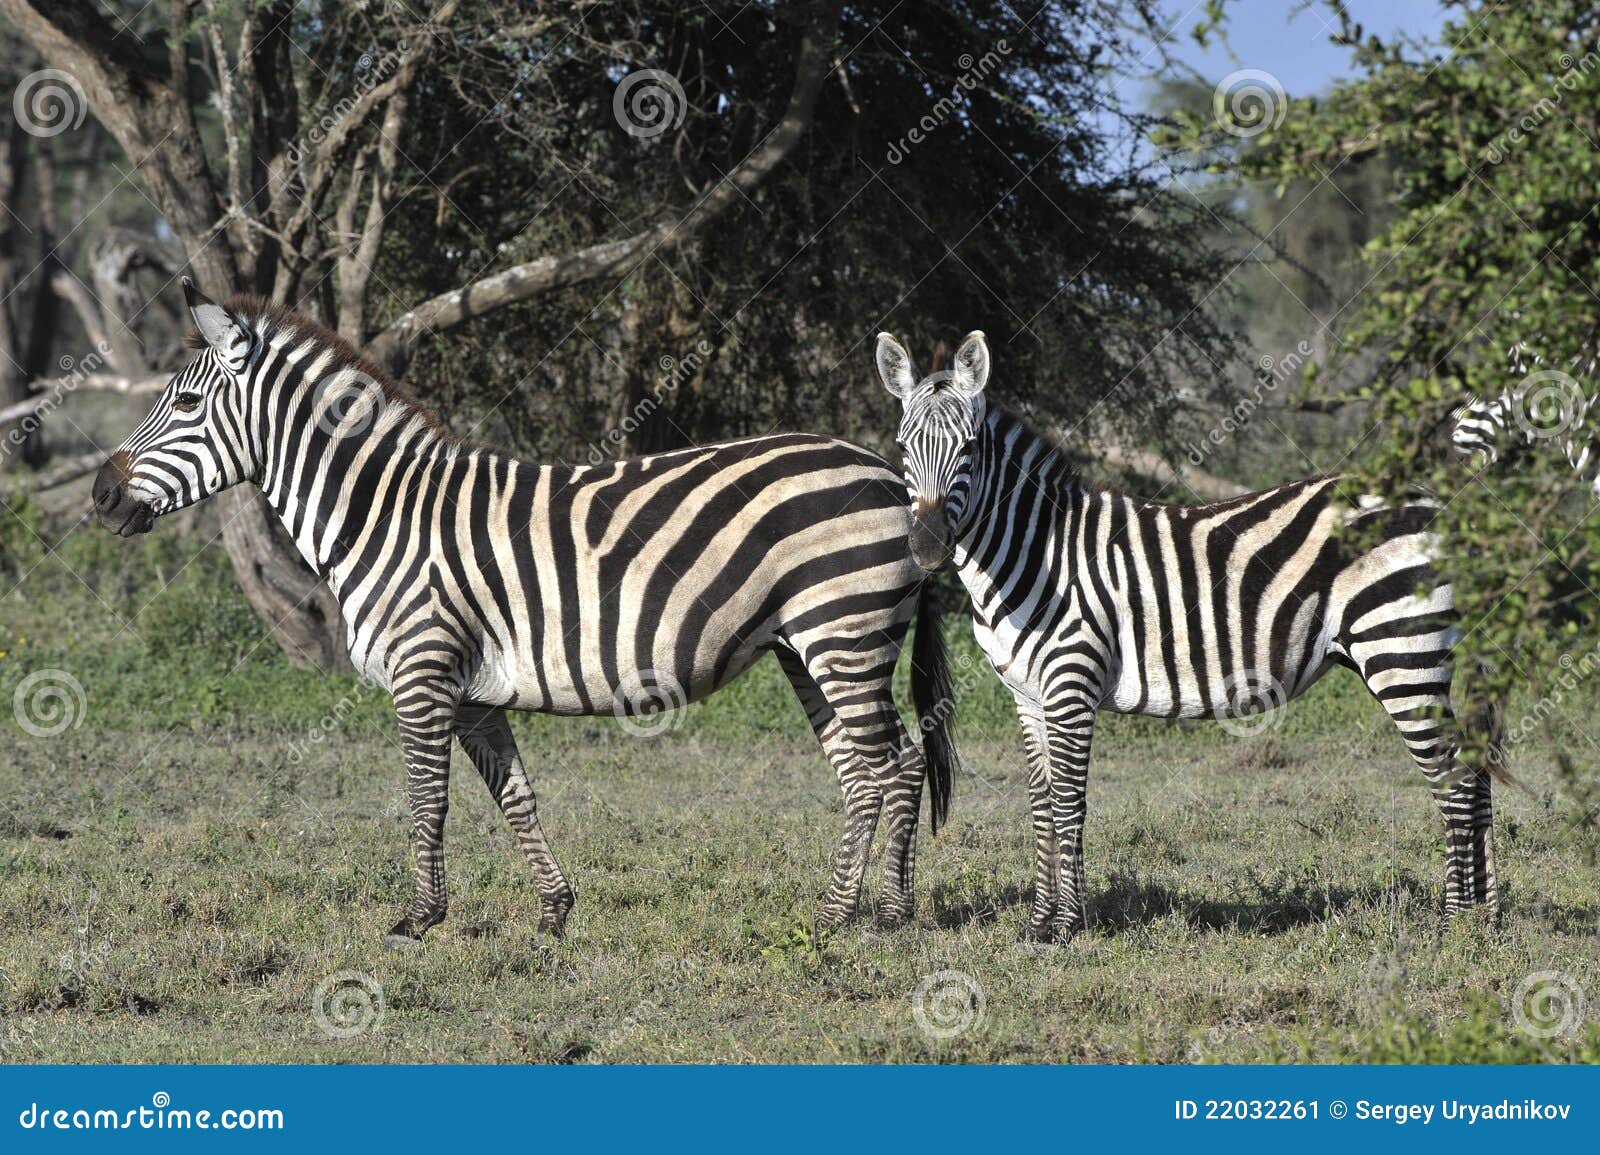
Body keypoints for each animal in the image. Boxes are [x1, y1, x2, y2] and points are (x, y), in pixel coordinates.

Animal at [92, 279, 957, 944]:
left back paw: (864, 915)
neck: (383, 513)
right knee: (876, 767)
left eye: (186, 402)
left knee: (891, 765)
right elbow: (514, 795)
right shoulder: (473, 689)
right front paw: (554, 911)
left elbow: (427, 797)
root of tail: (890, 475)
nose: (101, 494)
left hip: (843, 630)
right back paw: (865, 909)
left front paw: (418, 917)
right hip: (806, 643)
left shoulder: (422, 668)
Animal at [877, 329, 1502, 942]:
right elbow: (1040, 805)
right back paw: (1488, 921)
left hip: (1401, 652)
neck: (1034, 555)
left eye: (968, 450)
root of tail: (1434, 502)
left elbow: (1069, 803)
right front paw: (1037, 925)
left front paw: (1068, 926)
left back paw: (1453, 923)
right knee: (1476, 774)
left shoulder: (1072, 681)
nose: (928, 548)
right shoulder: (1026, 695)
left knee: (1456, 781)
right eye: (904, 450)